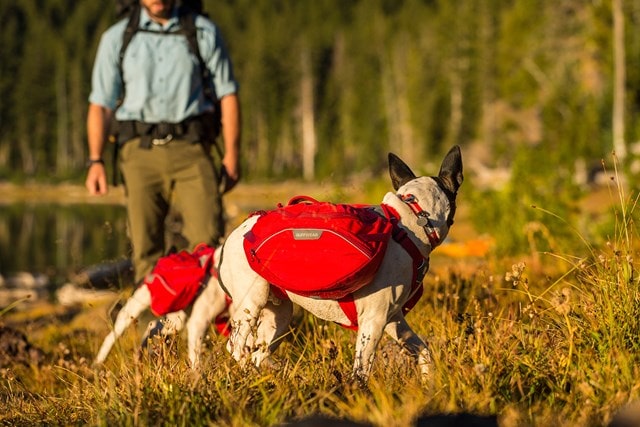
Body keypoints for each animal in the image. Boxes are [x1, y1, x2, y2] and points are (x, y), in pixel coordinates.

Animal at [92, 246, 232, 370]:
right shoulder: (199, 322)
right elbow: (196, 359)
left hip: (175, 320)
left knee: (153, 328)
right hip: (134, 308)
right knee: (111, 336)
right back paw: (97, 364)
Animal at [218, 146, 462, 384]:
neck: (412, 218)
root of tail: (238, 232)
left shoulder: (394, 319)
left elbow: (423, 351)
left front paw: (428, 383)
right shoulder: (374, 320)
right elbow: (361, 373)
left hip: (278, 317)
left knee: (258, 352)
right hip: (252, 301)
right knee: (237, 347)